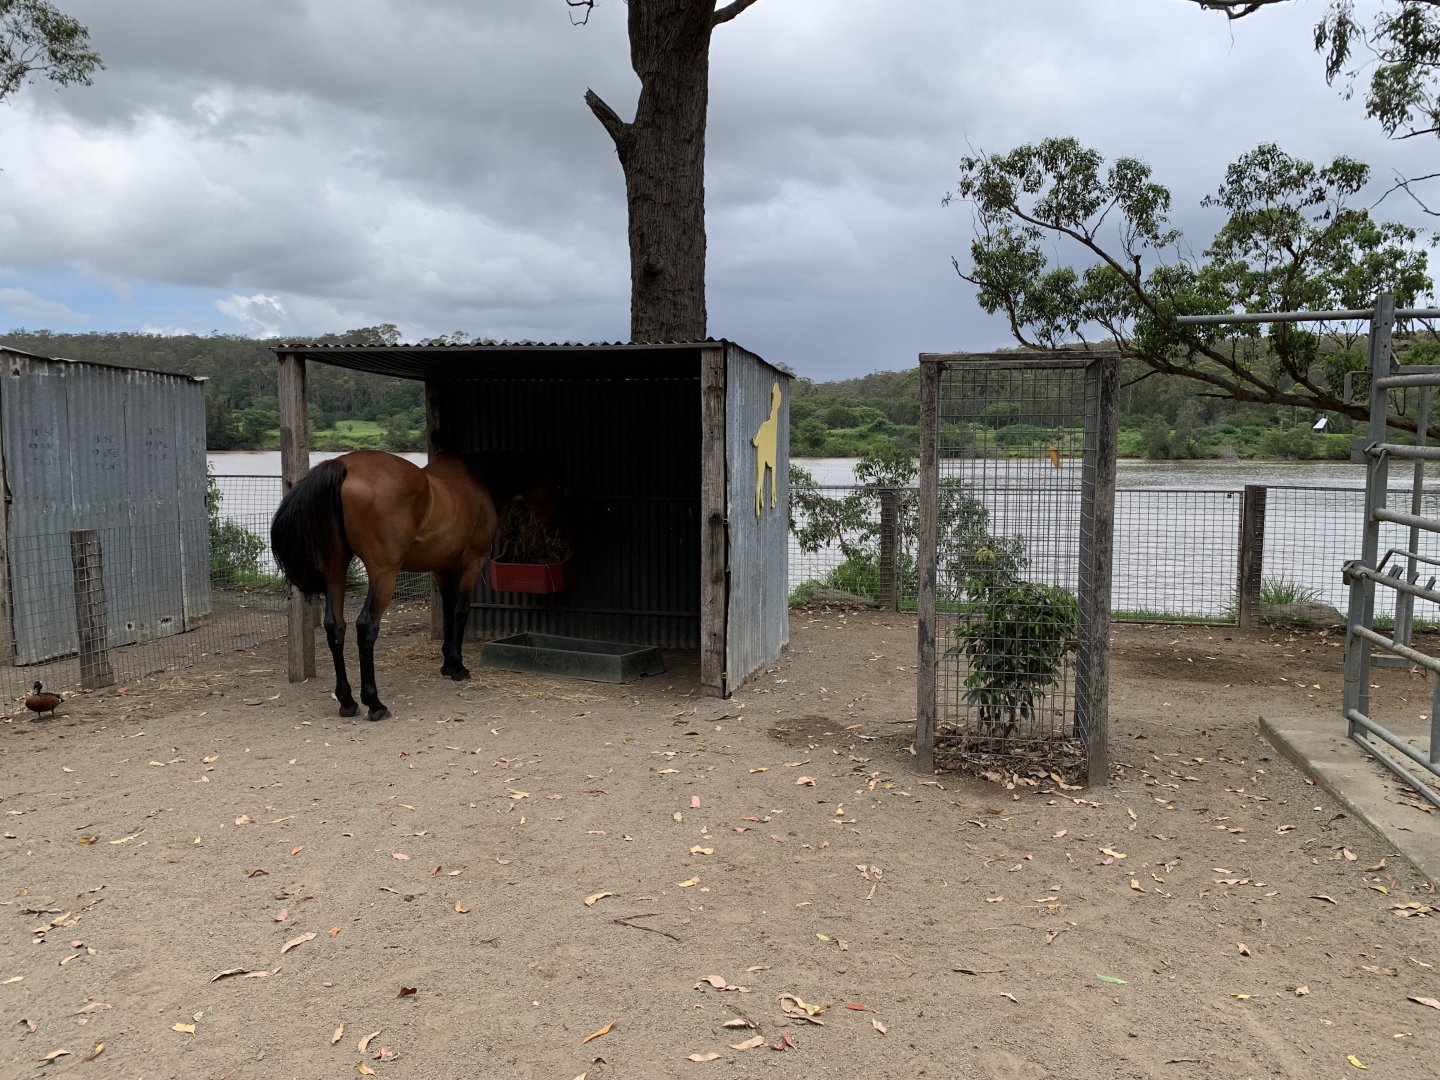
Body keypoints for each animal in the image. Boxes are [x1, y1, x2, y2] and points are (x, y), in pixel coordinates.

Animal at [269, 450, 500, 722]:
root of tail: (344, 465)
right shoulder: (473, 561)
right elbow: (461, 611)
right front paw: (457, 666)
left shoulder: (442, 566)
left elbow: (448, 608)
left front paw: (447, 663)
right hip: (384, 574)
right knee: (366, 626)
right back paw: (375, 703)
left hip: (335, 569)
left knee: (335, 626)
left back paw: (347, 701)